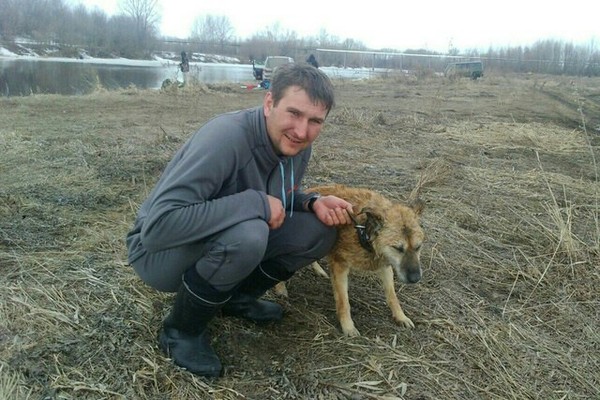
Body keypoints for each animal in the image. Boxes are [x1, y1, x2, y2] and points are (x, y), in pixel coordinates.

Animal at [276, 186, 422, 336]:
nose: (415, 278)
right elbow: (343, 302)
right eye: (398, 248)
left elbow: (392, 296)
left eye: (418, 247)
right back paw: (280, 288)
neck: (363, 231)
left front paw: (401, 316)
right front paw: (348, 327)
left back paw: (318, 270)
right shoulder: (339, 266)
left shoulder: (384, 265)